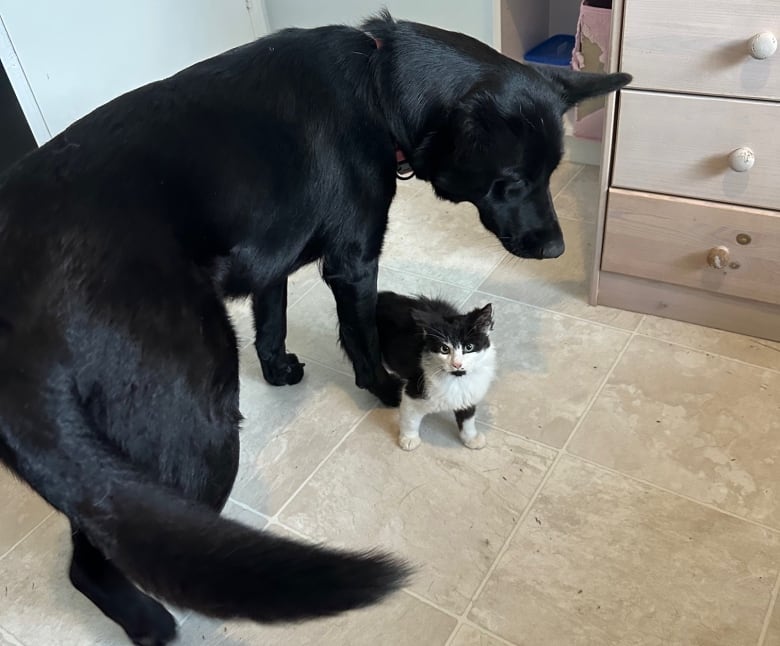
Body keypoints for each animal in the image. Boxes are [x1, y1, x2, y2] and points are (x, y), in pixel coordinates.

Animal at [376, 292, 494, 454]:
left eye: (469, 347)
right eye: (444, 349)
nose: (457, 364)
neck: (456, 378)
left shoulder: (469, 391)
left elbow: (468, 418)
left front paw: (471, 438)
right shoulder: (415, 387)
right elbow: (410, 418)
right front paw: (409, 439)